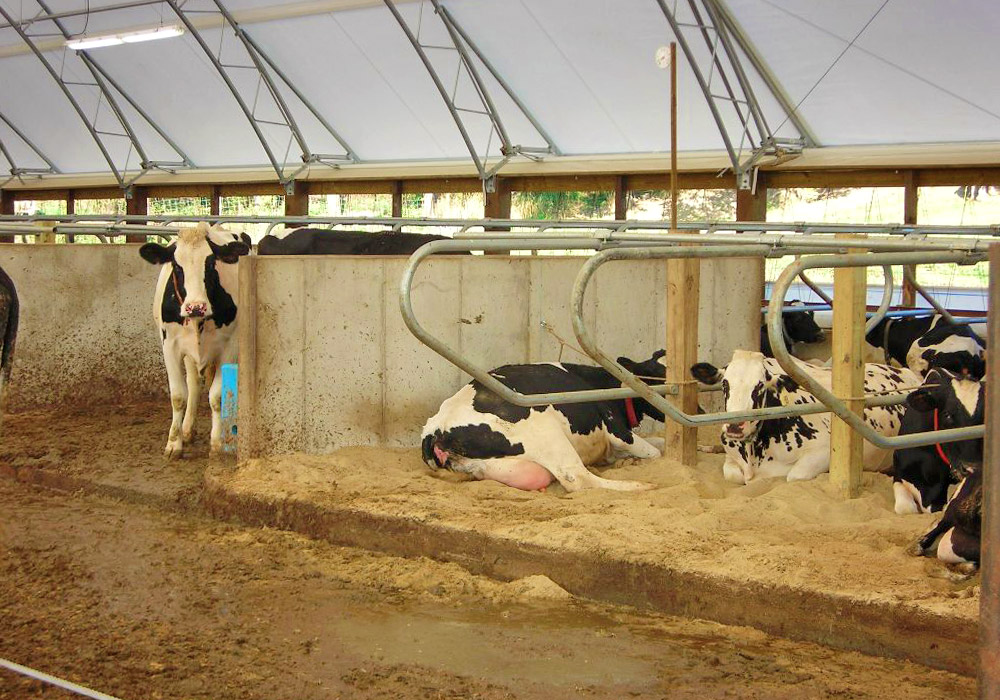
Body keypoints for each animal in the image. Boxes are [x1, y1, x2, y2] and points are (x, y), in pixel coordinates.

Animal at [139, 221, 250, 456]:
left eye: (211, 263)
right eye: (176, 266)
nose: (195, 306)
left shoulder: (229, 346)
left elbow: (217, 396)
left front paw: (217, 442)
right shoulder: (170, 346)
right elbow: (178, 396)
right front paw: (174, 443)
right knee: (193, 383)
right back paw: (188, 429)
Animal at [418, 350, 668, 492]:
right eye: (660, 379)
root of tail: (437, 429)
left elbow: (659, 445)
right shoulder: (617, 429)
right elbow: (655, 453)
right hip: (549, 435)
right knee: (578, 479)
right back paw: (641, 485)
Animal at [692, 348, 916, 484]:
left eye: (760, 386)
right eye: (724, 384)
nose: (735, 426)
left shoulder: (823, 452)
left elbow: (793, 476)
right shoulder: (732, 458)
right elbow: (732, 475)